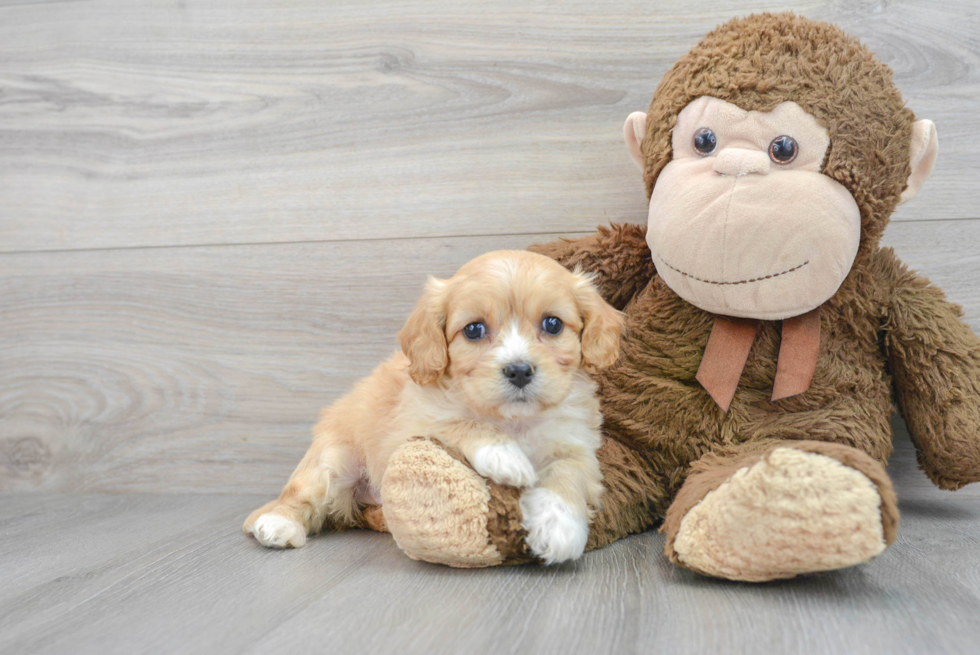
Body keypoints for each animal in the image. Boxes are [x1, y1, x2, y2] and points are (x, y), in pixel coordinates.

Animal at [243, 249, 620, 568]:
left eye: (552, 324)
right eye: (474, 330)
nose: (519, 370)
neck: (513, 421)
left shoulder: (576, 445)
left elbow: (569, 474)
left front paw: (558, 528)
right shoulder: (414, 422)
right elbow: (461, 422)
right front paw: (505, 456)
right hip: (333, 459)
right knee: (302, 494)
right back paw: (278, 523)